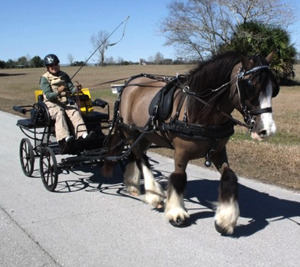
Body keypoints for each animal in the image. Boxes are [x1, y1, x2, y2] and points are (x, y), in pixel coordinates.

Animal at [104, 51, 280, 236]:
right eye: (250, 86)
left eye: (274, 89)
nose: (267, 129)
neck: (199, 111)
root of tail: (129, 83)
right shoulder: (181, 152)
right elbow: (179, 178)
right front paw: (176, 213)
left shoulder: (218, 151)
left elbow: (229, 176)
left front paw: (225, 219)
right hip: (131, 132)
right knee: (141, 159)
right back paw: (154, 195)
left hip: (145, 135)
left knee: (135, 155)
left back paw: (132, 185)